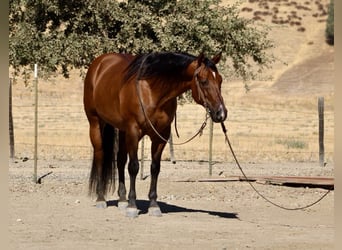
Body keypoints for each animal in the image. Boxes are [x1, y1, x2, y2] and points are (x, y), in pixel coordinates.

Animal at [83, 52, 227, 217]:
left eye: (220, 80)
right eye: (204, 81)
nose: (221, 113)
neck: (152, 91)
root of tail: (99, 63)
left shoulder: (160, 136)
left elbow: (155, 168)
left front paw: (153, 205)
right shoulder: (133, 131)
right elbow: (134, 166)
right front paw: (132, 206)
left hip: (123, 130)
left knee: (120, 160)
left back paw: (122, 200)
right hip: (96, 123)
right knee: (100, 155)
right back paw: (101, 198)